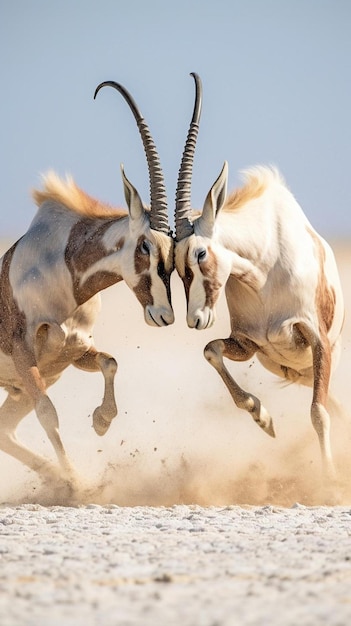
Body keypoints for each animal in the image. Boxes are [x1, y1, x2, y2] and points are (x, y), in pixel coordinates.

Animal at [0, 80, 175, 486]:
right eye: (145, 244)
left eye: (176, 247)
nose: (164, 314)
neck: (63, 270)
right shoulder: (24, 353)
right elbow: (48, 413)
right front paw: (78, 485)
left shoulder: (70, 353)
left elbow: (110, 362)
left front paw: (101, 421)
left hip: (19, 389)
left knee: (5, 431)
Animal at [175, 73, 346, 480]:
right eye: (171, 259)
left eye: (200, 252)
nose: (195, 318)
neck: (263, 273)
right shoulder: (250, 343)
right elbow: (211, 349)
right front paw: (263, 417)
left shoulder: (316, 341)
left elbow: (318, 414)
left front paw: (330, 478)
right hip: (291, 369)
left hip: (315, 363)